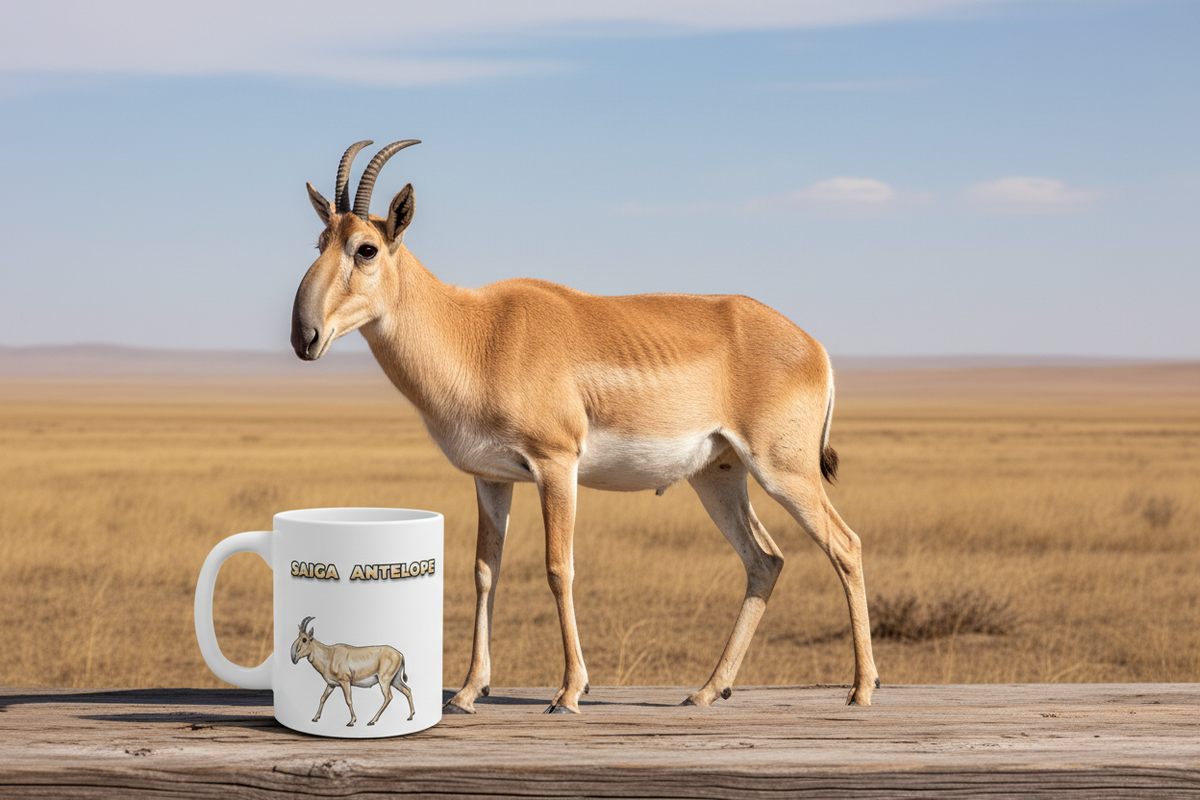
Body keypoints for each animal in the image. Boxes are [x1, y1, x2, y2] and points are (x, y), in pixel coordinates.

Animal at [292, 140, 879, 715]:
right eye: (321, 240)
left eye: (366, 248)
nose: (305, 336)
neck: (478, 334)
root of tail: (814, 346)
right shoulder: (491, 478)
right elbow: (485, 571)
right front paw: (468, 690)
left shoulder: (556, 465)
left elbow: (559, 567)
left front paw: (570, 691)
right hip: (718, 477)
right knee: (765, 561)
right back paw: (709, 689)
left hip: (783, 471)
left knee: (845, 546)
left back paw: (861, 688)